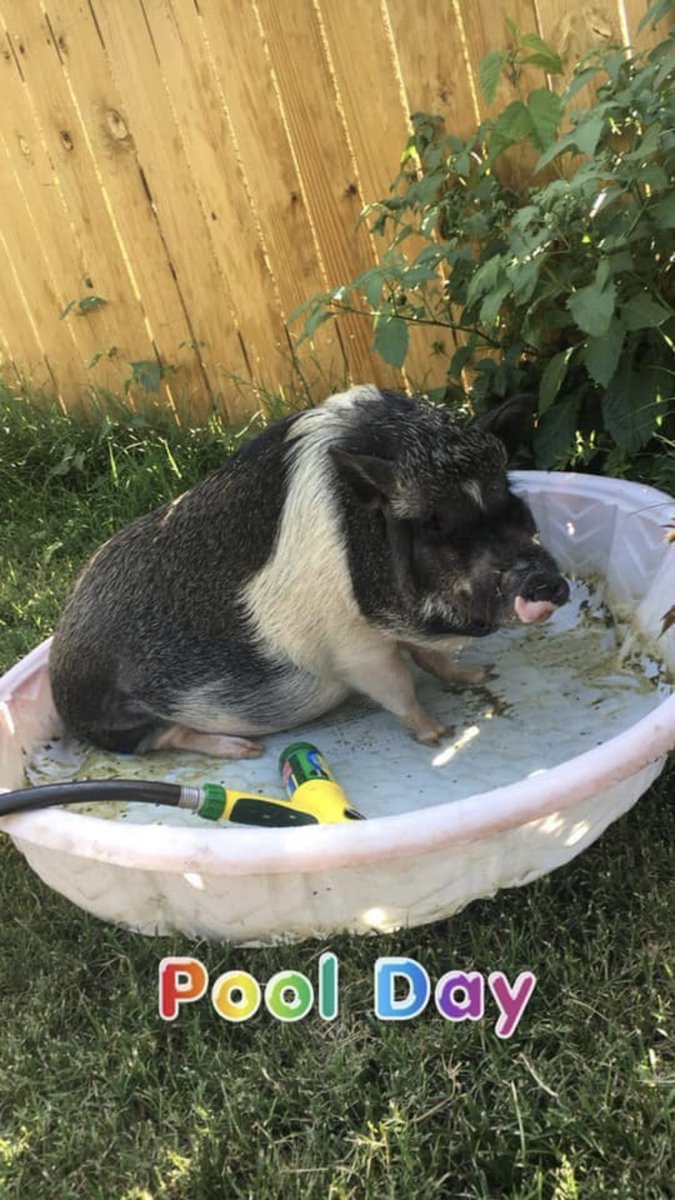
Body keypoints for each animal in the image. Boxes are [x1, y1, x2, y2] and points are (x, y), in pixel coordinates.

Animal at [49, 385, 569, 756]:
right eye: (431, 524)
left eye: (511, 501)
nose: (541, 580)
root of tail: (59, 661)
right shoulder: (352, 648)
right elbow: (397, 686)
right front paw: (440, 733)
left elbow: (431, 659)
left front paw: (481, 675)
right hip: (121, 718)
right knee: (164, 738)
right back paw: (245, 750)